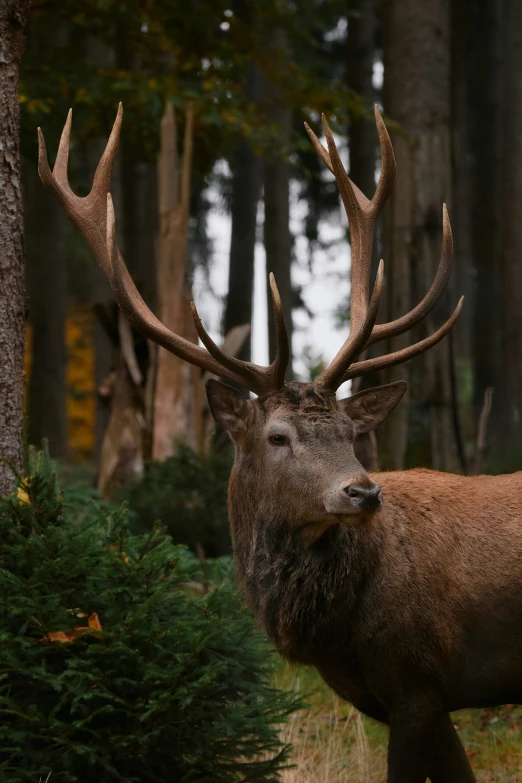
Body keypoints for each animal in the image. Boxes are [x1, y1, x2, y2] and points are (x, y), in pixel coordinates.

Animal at [36, 104, 520, 783]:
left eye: (351, 433)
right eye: (278, 435)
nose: (363, 492)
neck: (338, 632)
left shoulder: (418, 678)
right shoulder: (419, 692)